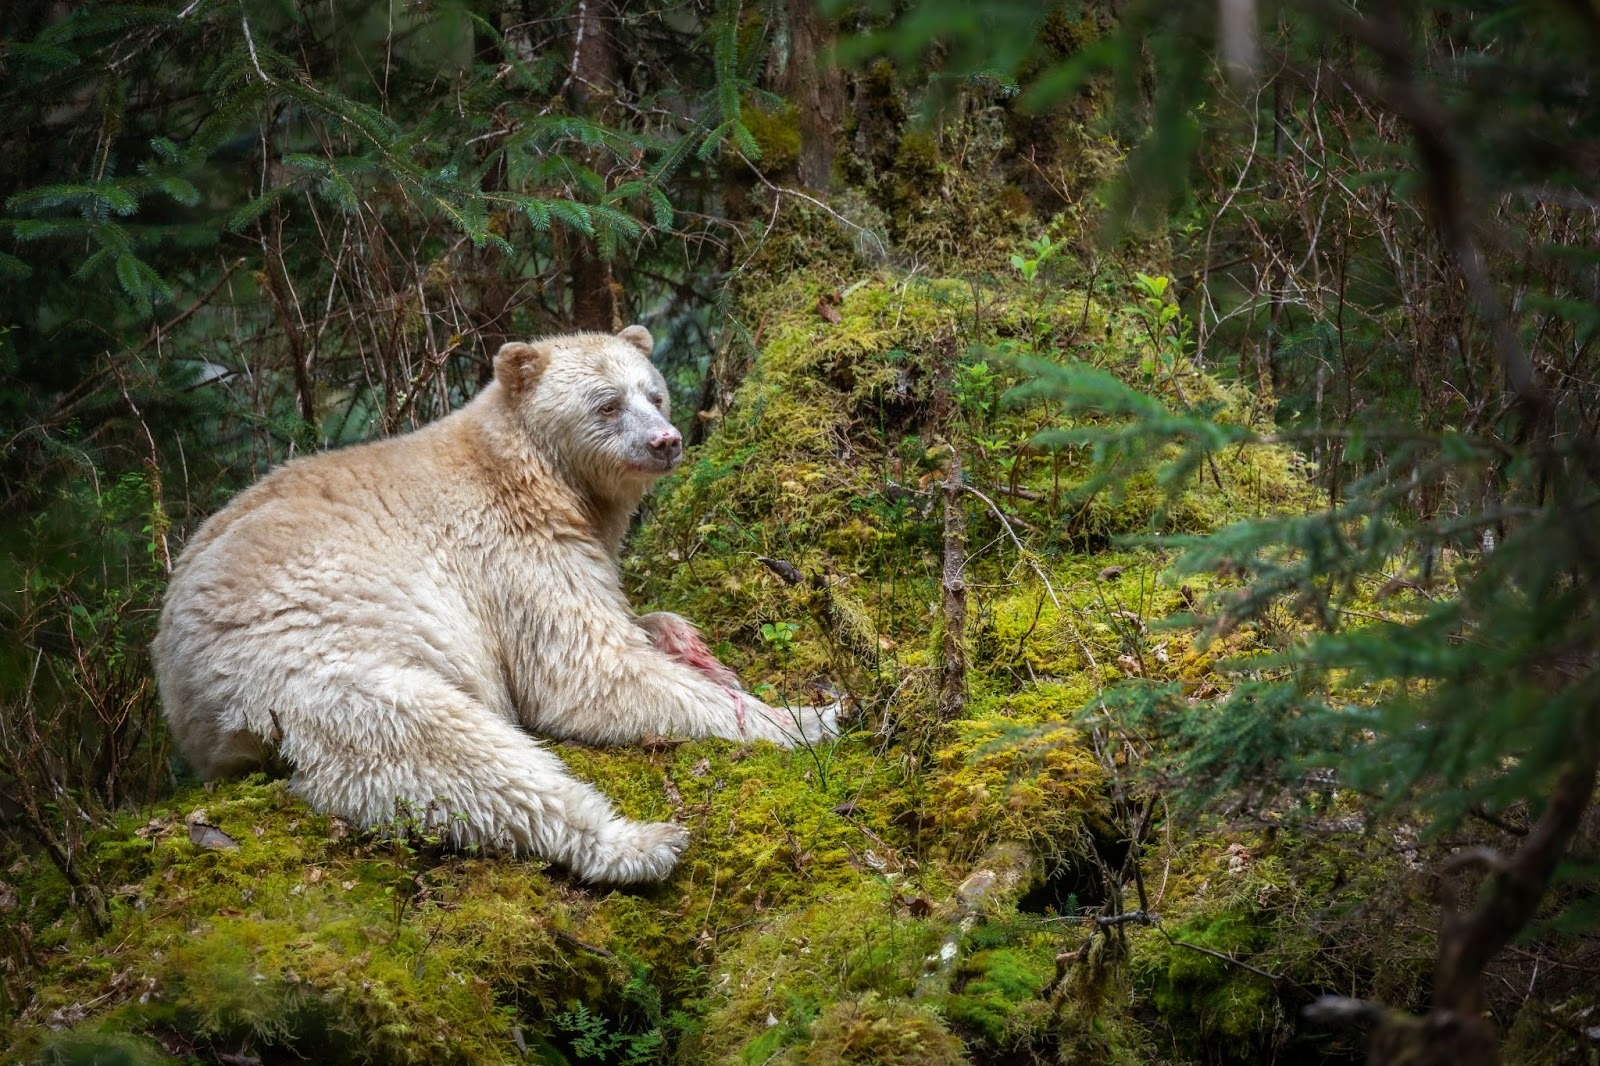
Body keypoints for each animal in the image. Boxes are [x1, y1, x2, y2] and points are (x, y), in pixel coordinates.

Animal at [153, 325, 837, 883]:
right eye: (608, 402)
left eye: (655, 393)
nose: (666, 442)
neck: (535, 470)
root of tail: (180, 688)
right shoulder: (508, 552)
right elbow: (582, 668)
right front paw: (801, 717)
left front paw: (687, 642)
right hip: (313, 663)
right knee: (450, 751)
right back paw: (636, 843)